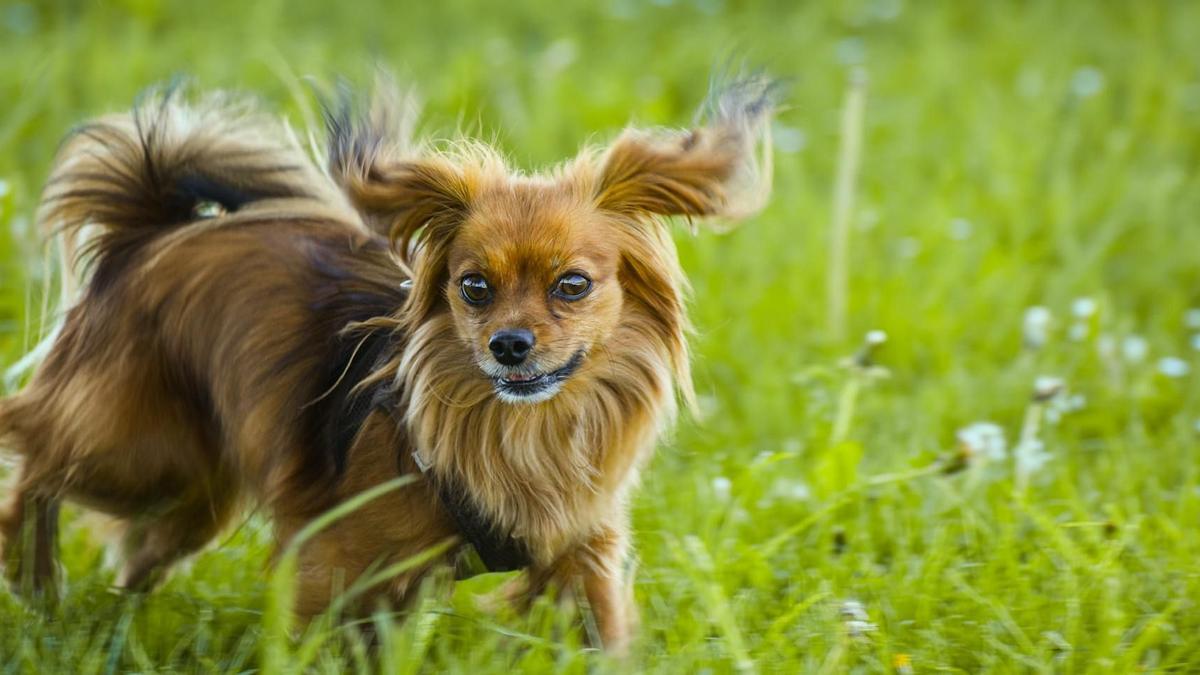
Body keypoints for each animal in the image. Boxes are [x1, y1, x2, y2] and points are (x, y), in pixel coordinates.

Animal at [0, 76, 772, 648]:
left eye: (572, 285)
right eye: (474, 287)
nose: (509, 344)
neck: (521, 432)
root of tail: (150, 232)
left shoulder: (583, 557)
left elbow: (604, 633)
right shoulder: (330, 556)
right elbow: (312, 635)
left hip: (192, 494)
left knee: (137, 550)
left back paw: (103, 612)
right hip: (138, 455)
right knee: (32, 449)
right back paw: (32, 571)